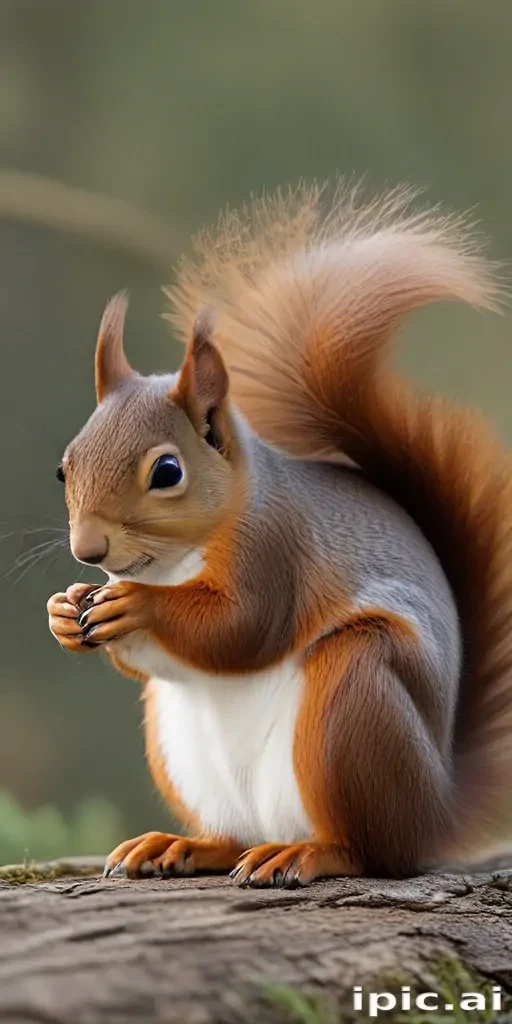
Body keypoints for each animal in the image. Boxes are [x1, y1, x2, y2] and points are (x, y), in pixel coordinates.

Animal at [47, 182, 512, 888]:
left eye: (167, 471)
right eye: (64, 467)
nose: (88, 551)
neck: (173, 562)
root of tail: (438, 813)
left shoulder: (275, 551)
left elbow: (241, 629)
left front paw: (139, 606)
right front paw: (65, 611)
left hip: (356, 699)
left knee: (370, 851)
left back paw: (308, 854)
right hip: (182, 750)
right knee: (230, 836)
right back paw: (182, 845)